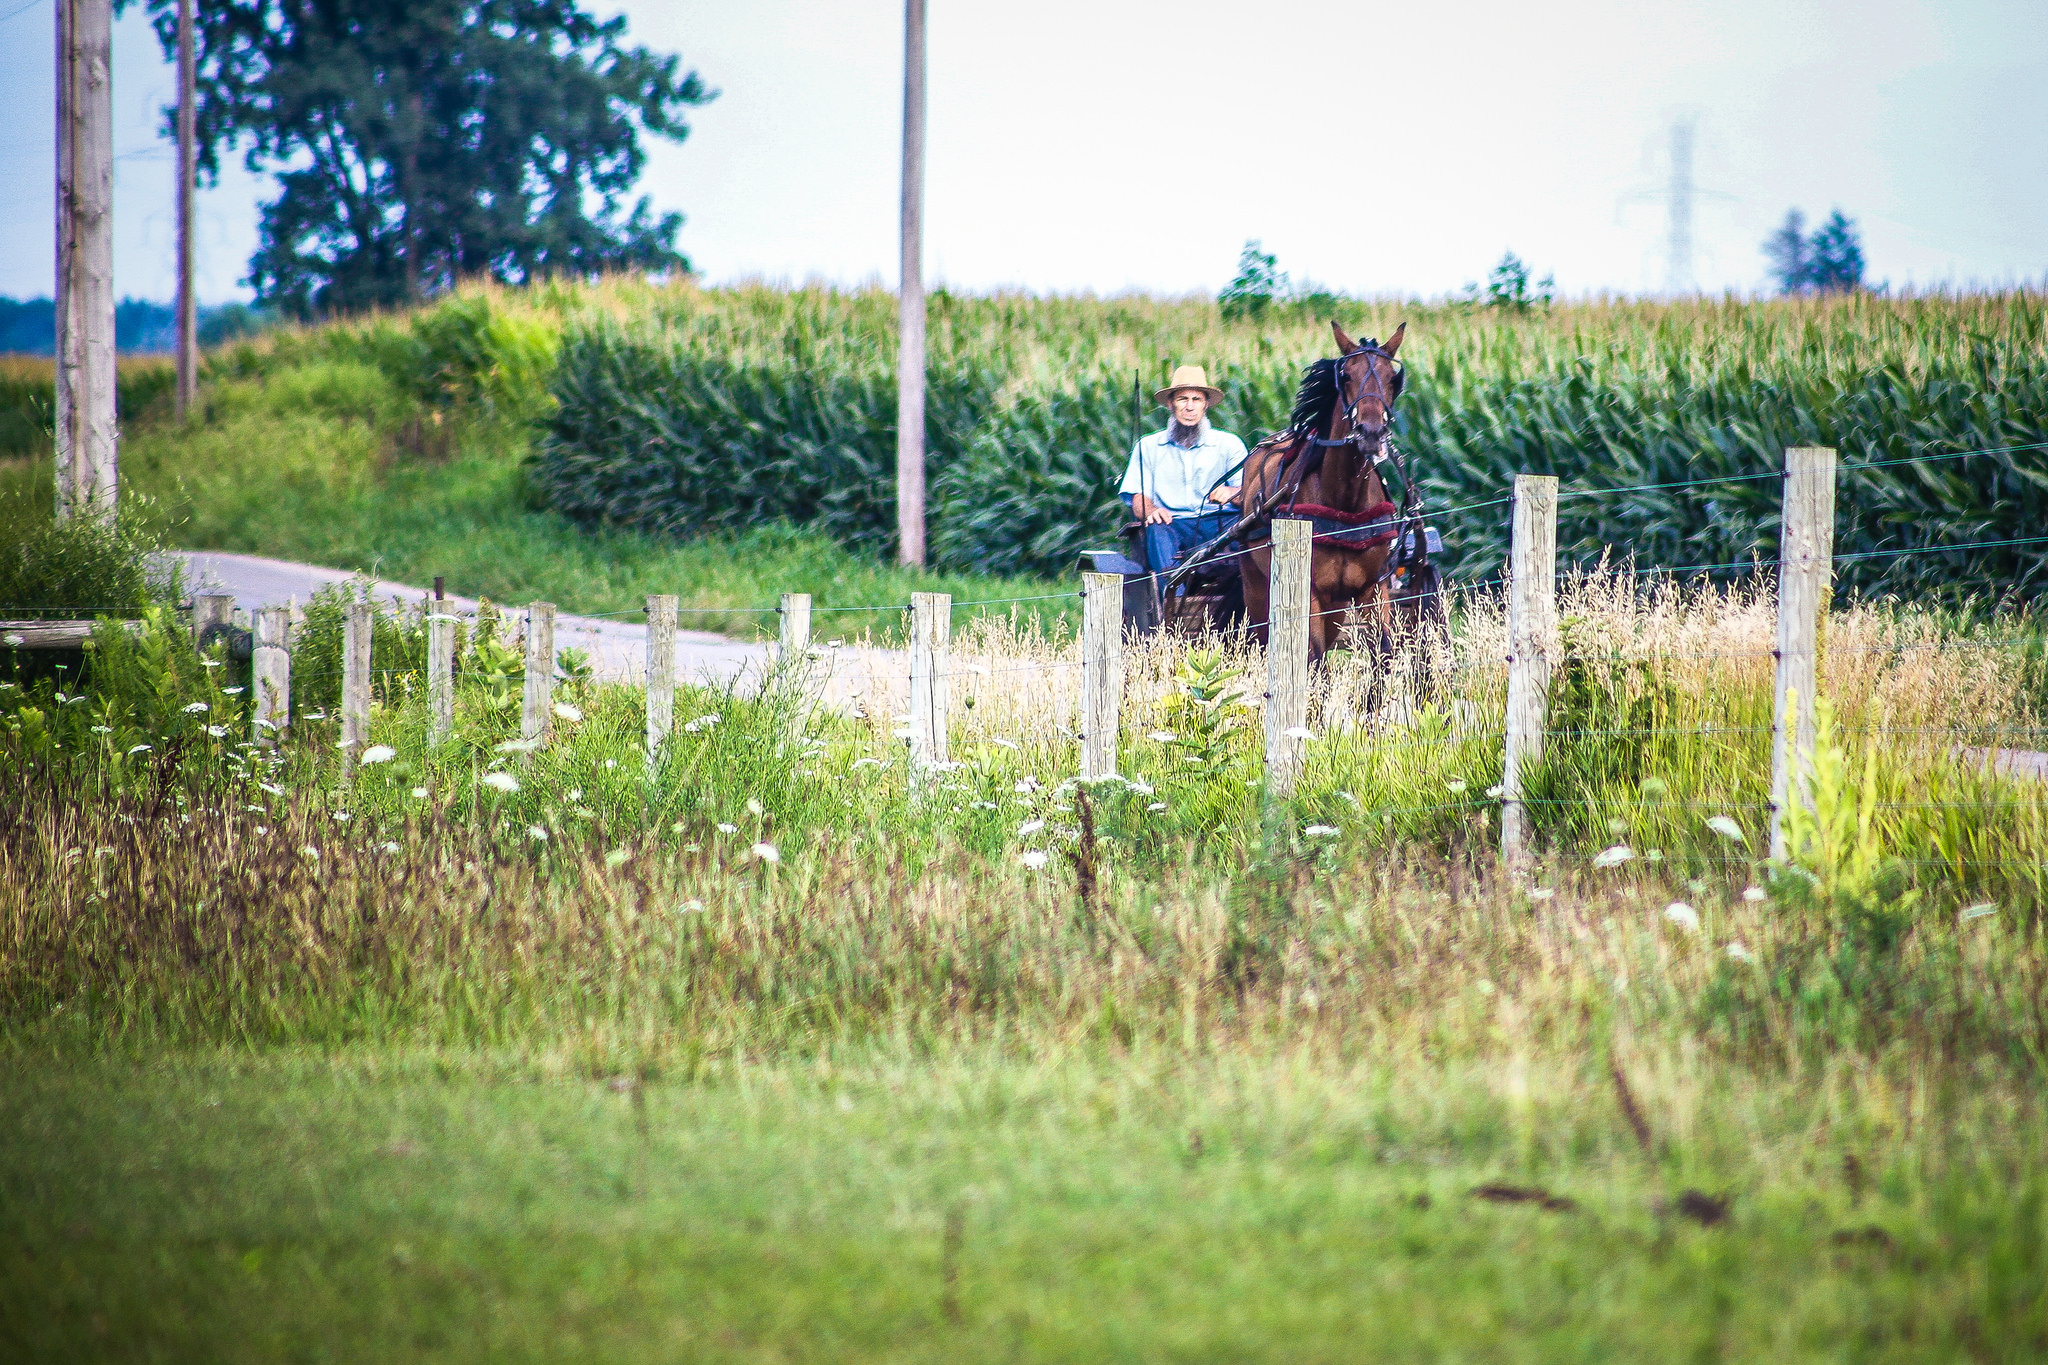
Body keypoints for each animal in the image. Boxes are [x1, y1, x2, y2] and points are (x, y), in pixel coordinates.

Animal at [1236, 321, 1400, 663]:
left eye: (1392, 378)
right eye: (1346, 375)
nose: (1371, 433)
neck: (1344, 504)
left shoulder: (1373, 586)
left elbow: (1383, 650)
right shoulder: (1307, 590)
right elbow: (1312, 653)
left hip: (1335, 604)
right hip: (1257, 586)